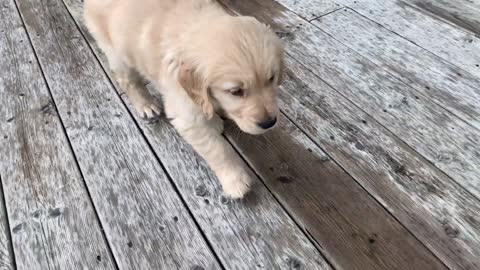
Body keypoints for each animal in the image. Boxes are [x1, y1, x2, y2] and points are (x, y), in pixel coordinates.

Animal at [84, 0, 284, 198]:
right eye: (236, 91)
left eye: (271, 79)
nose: (269, 122)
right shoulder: (186, 114)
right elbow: (218, 149)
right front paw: (235, 180)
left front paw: (214, 121)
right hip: (116, 52)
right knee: (128, 80)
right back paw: (146, 105)